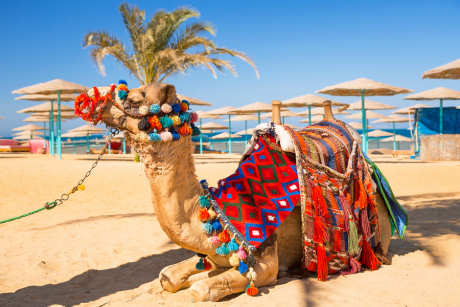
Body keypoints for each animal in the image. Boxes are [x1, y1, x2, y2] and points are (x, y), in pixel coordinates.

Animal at [80, 83, 392, 302]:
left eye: (133, 99)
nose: (92, 98)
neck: (217, 214)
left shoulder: (265, 262)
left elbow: (201, 289)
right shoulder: (210, 253)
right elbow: (167, 276)